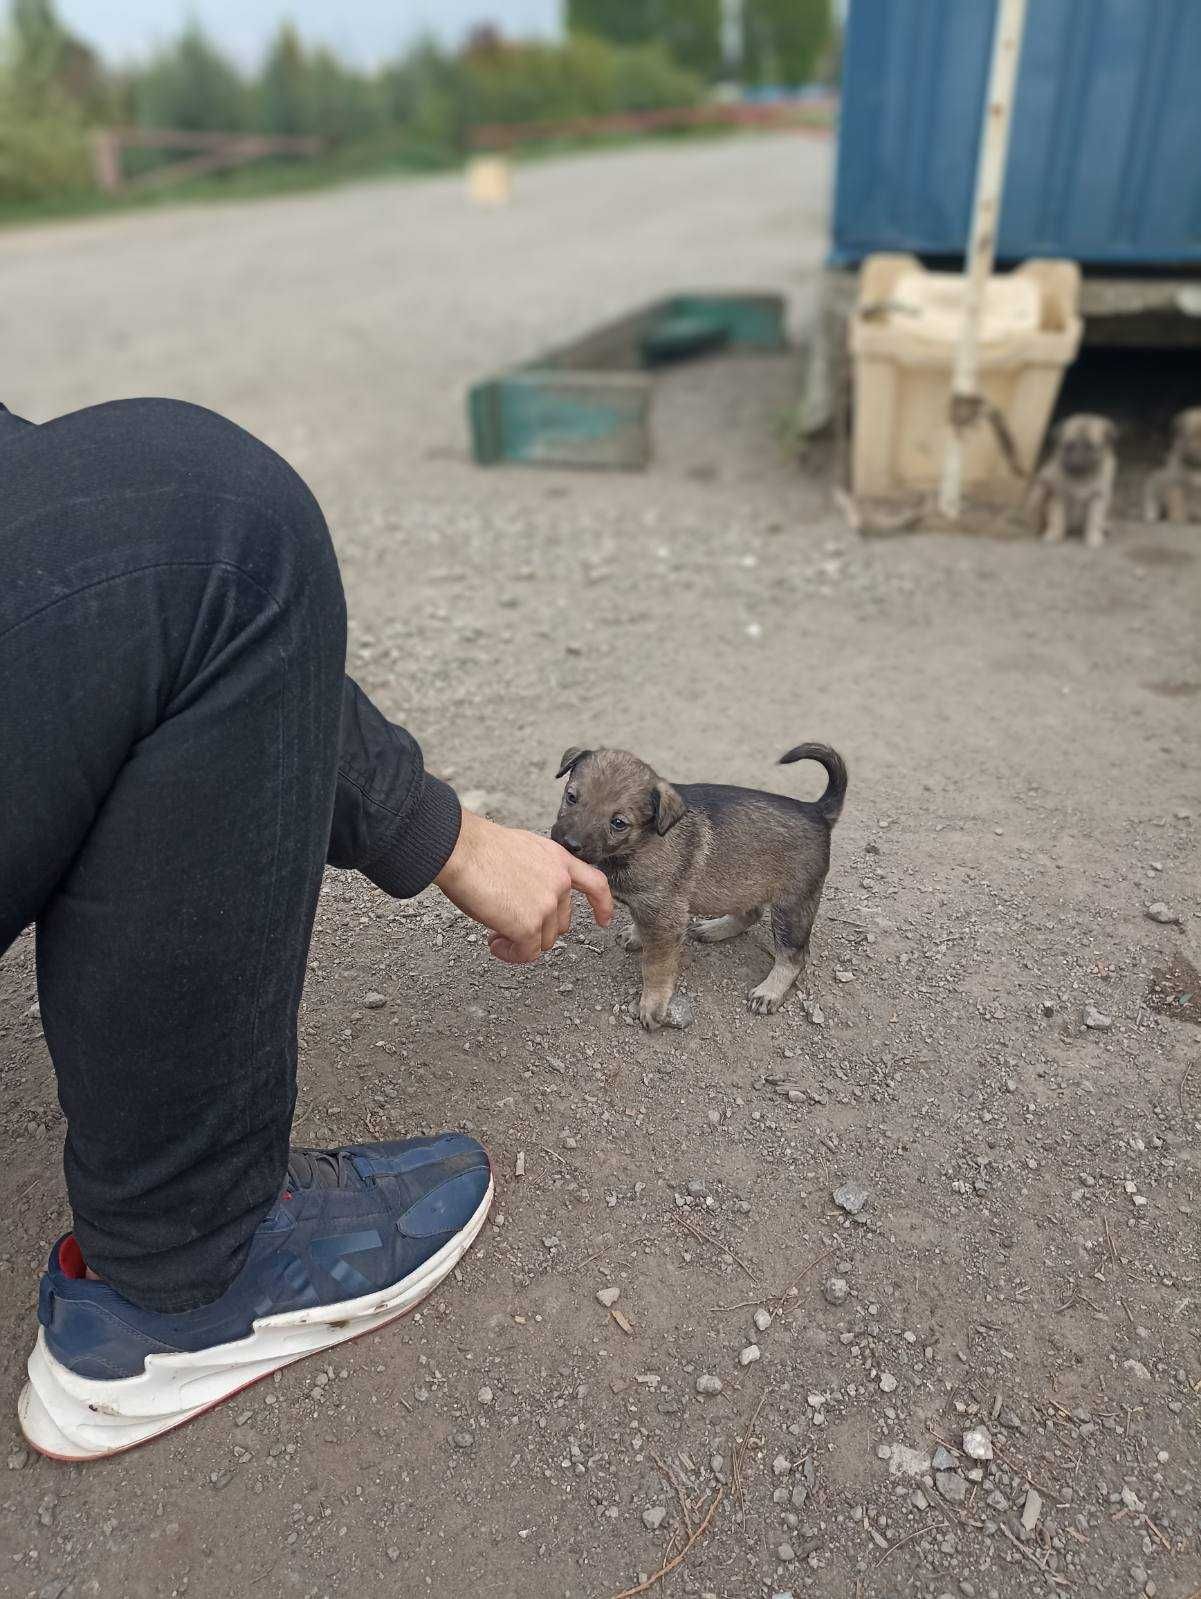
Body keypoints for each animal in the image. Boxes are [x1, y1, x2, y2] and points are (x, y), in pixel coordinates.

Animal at [550, 741, 850, 1029]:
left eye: (618, 823)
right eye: (571, 797)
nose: (568, 843)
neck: (641, 842)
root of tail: (817, 810)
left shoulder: (664, 918)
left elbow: (656, 967)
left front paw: (653, 1004)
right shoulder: (651, 907)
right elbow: (640, 925)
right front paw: (635, 935)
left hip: (792, 907)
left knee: (794, 955)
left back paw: (769, 991)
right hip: (742, 883)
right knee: (751, 913)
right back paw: (714, 928)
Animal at [1029, 412, 1125, 550]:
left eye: (1091, 447)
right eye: (1069, 446)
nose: (1077, 463)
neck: (1081, 477)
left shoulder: (1097, 498)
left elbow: (1094, 520)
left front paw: (1094, 538)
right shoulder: (1058, 496)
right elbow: (1057, 519)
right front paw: (1054, 535)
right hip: (1039, 490)